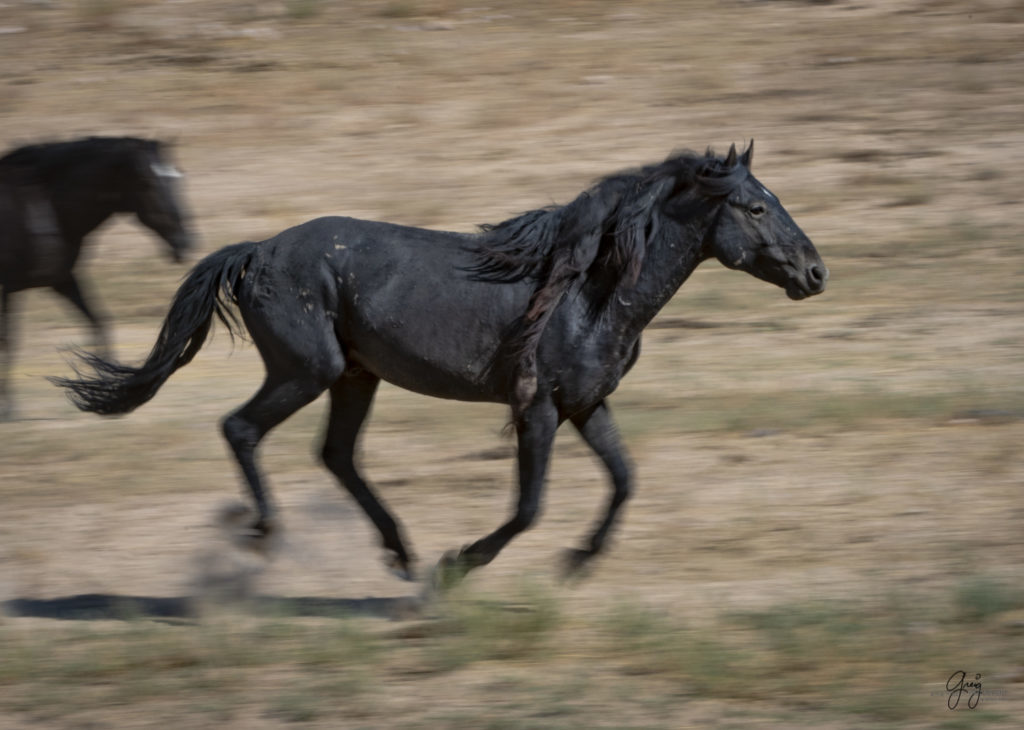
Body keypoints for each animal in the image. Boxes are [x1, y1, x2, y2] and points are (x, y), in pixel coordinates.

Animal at [0, 136, 192, 417]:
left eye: (178, 176)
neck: (41, 204)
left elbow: (98, 323)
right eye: (147, 182)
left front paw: (112, 391)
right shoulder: (8, 288)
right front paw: (9, 408)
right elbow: (8, 341)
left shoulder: (61, 280)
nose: (186, 243)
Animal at [51, 142, 827, 585]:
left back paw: (400, 553)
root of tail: (255, 252)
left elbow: (625, 481)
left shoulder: (586, 405)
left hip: (353, 378)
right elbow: (530, 506)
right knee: (241, 430)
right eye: (756, 208)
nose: (816, 273)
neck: (591, 289)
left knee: (336, 455)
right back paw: (269, 536)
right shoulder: (539, 410)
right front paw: (462, 564)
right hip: (306, 372)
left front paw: (577, 564)